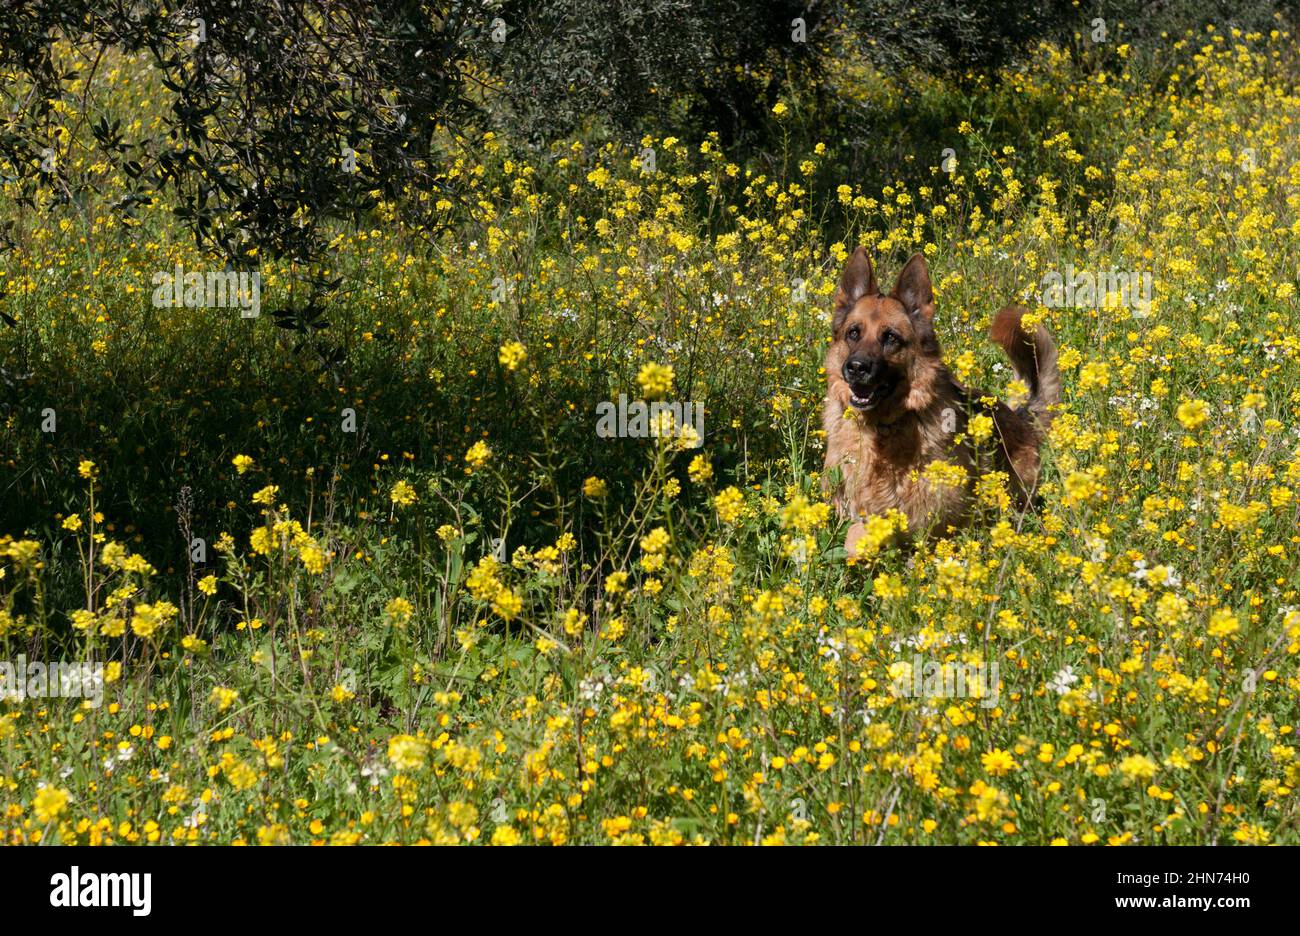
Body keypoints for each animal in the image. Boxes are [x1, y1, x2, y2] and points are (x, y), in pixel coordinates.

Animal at [826, 248, 1060, 556]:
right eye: (854, 333)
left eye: (890, 337)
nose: (856, 368)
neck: (882, 430)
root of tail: (1019, 416)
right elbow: (853, 535)